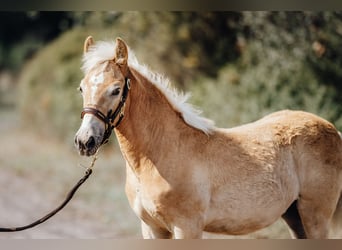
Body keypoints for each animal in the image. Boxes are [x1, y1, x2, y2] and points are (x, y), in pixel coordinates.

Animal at [73, 35, 342, 238]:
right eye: (81, 87)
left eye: (116, 90)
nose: (85, 141)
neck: (159, 154)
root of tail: (332, 129)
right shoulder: (152, 228)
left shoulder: (187, 227)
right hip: (294, 216)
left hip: (316, 216)